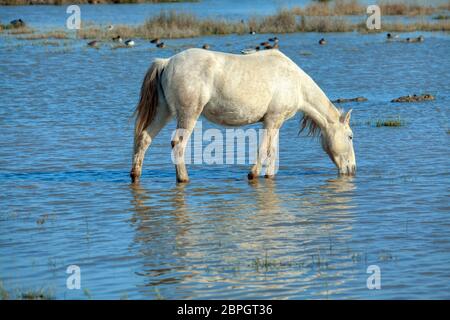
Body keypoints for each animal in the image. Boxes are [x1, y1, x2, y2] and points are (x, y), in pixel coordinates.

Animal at [130, 47, 356, 182]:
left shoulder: (276, 122)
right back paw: (183, 178)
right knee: (178, 144)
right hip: (188, 114)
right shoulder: (272, 120)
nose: (352, 169)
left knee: (144, 138)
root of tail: (166, 62)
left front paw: (268, 176)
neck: (295, 82)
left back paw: (135, 174)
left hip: (164, 111)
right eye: (350, 136)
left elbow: (272, 153)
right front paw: (253, 174)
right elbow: (264, 150)